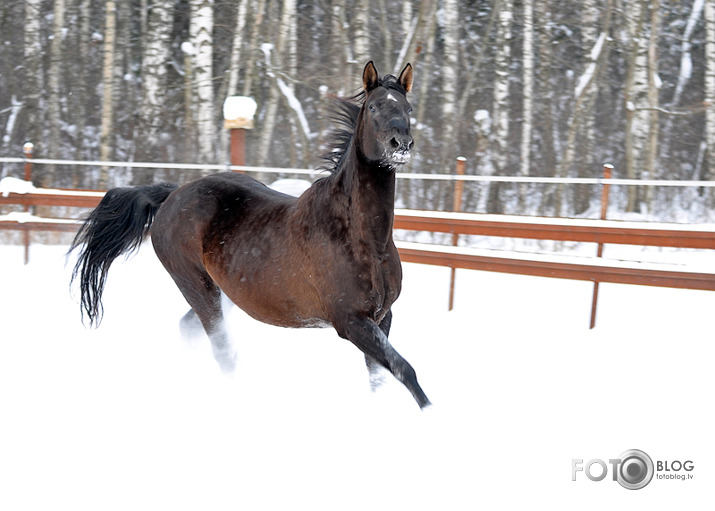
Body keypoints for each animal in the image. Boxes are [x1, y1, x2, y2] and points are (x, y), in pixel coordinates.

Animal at [71, 62, 430, 410]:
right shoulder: (352, 321)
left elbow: (378, 377)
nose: (401, 145)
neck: (364, 239)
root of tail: (172, 194)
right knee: (223, 351)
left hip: (225, 292)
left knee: (190, 330)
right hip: (197, 286)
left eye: (408, 108)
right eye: (373, 107)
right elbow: (405, 370)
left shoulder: (382, 316)